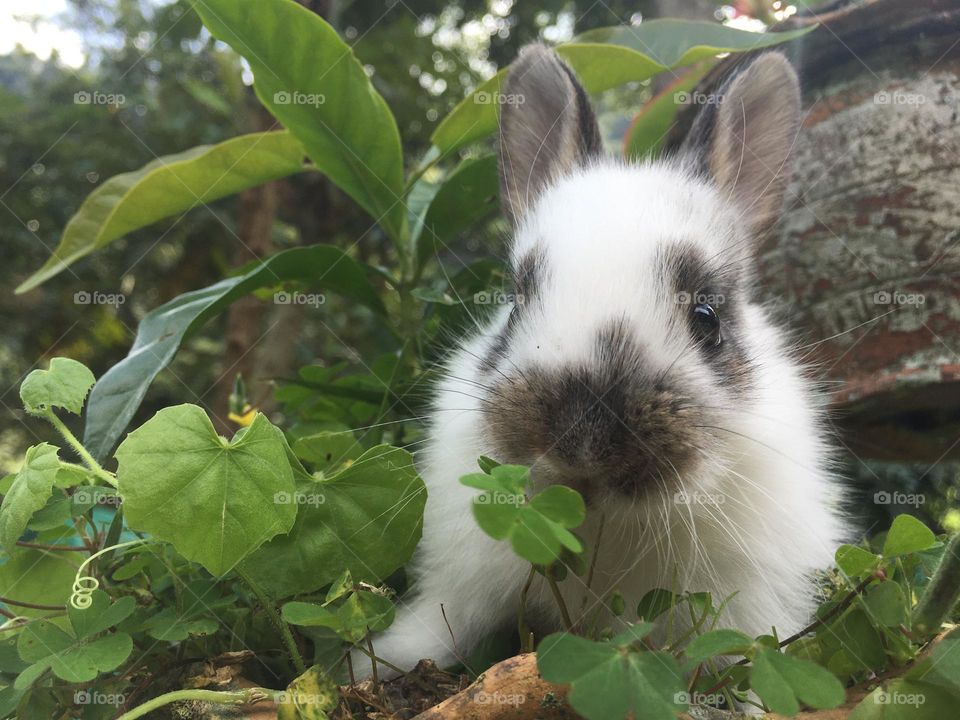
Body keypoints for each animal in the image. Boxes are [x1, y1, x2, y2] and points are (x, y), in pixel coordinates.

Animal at [350, 46, 840, 680]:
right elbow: (439, 626)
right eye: (517, 302)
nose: (582, 440)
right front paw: (374, 663)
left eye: (707, 317)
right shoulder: (461, 582)